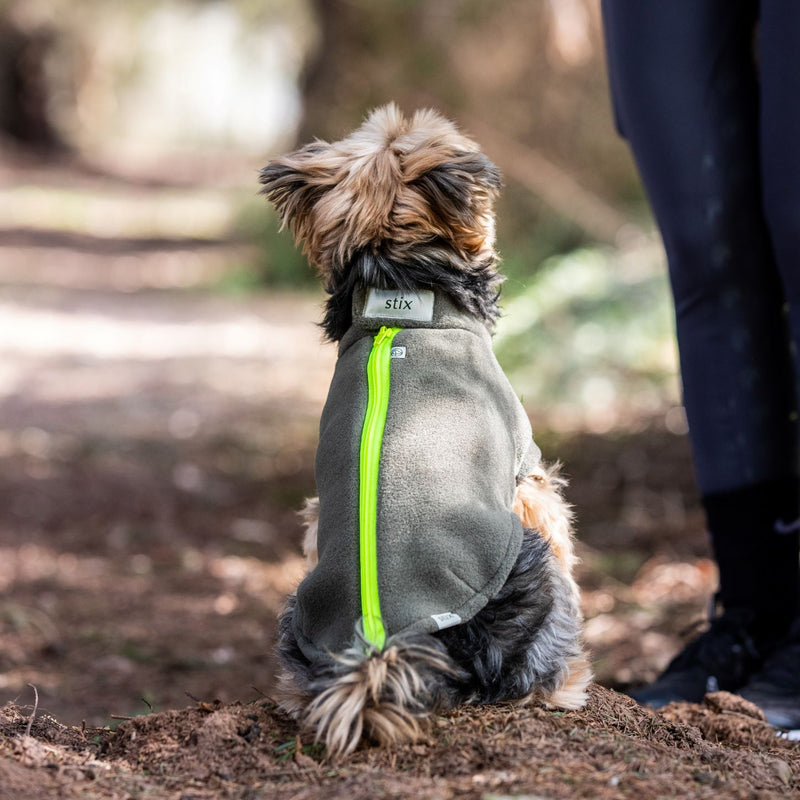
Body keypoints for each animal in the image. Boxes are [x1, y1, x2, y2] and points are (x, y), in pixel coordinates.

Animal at [260, 104, 592, 756]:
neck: (400, 284)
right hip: (528, 566)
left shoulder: (315, 513)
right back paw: (568, 683)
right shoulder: (527, 472)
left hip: (299, 614)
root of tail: (386, 647)